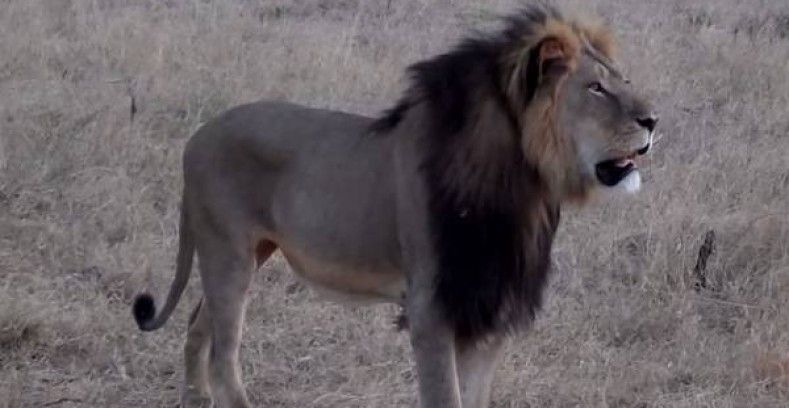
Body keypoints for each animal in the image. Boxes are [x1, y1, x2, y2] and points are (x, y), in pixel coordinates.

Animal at [132, 5, 658, 408]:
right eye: (596, 88)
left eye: (624, 79)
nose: (654, 119)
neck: (523, 188)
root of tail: (196, 137)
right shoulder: (432, 310)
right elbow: (445, 398)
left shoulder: (488, 312)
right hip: (229, 254)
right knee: (224, 357)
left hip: (247, 253)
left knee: (199, 325)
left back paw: (194, 398)